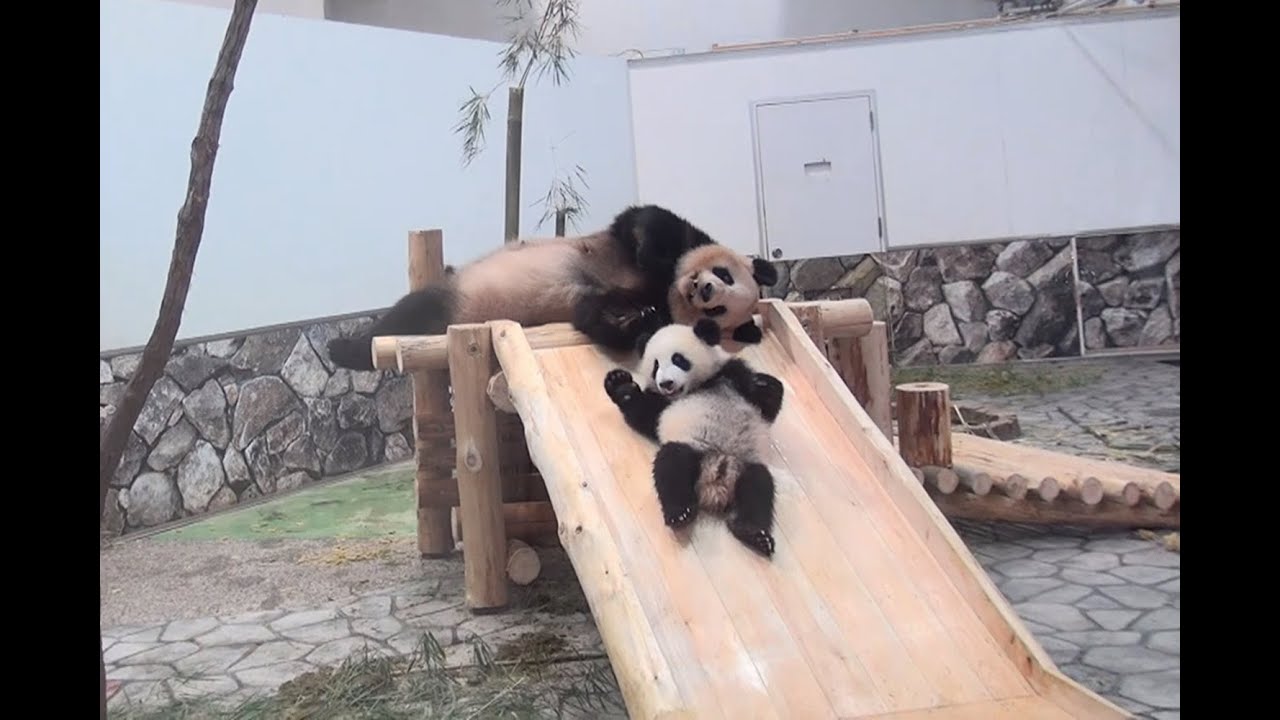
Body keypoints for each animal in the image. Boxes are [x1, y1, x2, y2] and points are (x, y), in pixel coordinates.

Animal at [326, 204, 780, 371]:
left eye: (718, 311)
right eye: (725, 275)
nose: (704, 291)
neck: (664, 288)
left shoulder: (628, 297)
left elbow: (593, 315)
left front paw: (635, 322)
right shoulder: (638, 244)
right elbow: (647, 221)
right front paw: (654, 255)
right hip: (460, 292)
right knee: (408, 313)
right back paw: (342, 347)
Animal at [602, 317, 784, 558]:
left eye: (678, 359)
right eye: (655, 366)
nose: (666, 383)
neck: (696, 387)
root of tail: (715, 482)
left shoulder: (731, 374)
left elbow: (765, 408)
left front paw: (766, 384)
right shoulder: (664, 407)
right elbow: (646, 415)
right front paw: (619, 383)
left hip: (744, 462)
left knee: (758, 487)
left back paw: (754, 533)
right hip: (692, 448)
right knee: (672, 465)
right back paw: (680, 513)